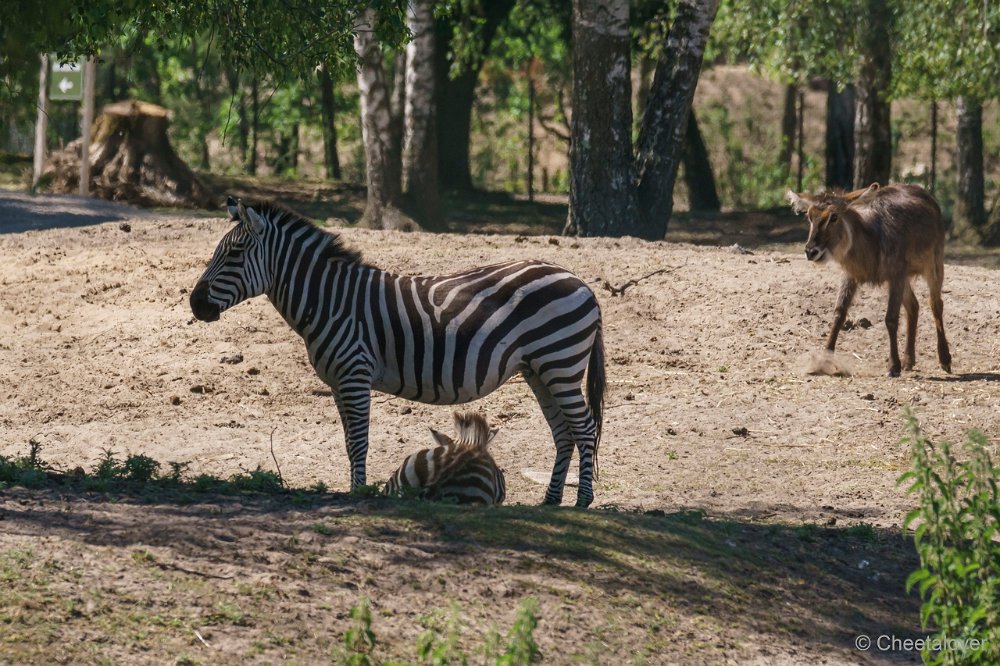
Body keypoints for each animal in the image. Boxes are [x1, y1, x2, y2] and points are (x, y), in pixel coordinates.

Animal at [191, 198, 604, 508]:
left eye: (235, 252)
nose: (195, 304)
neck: (329, 301)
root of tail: (580, 281)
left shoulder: (354, 375)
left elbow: (359, 441)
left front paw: (359, 493)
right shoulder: (339, 382)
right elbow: (348, 441)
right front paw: (354, 488)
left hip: (560, 363)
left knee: (584, 428)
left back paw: (582, 500)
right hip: (539, 370)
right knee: (563, 432)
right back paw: (550, 501)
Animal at [784, 184, 948, 376]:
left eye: (834, 216)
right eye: (810, 216)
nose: (811, 251)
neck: (872, 240)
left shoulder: (896, 275)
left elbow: (891, 319)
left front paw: (893, 366)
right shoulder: (850, 276)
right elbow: (839, 314)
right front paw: (824, 360)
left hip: (934, 265)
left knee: (935, 304)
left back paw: (945, 359)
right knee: (913, 306)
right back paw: (909, 361)